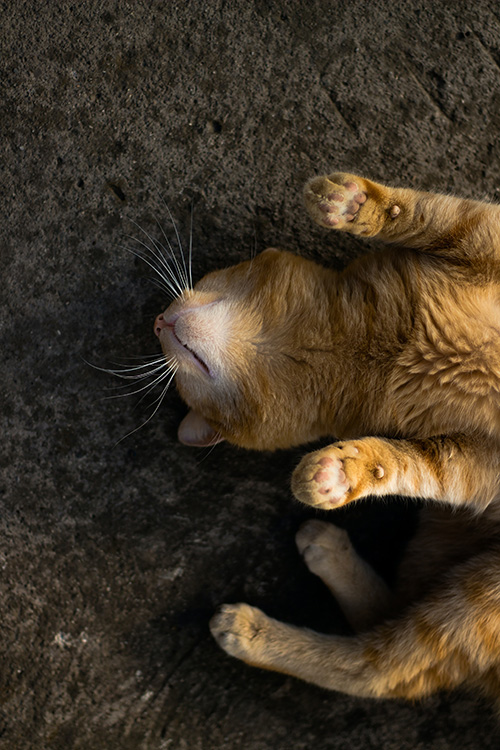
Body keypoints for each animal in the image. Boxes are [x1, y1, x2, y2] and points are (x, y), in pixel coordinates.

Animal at [152, 173, 500, 704]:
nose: (157, 323)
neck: (365, 346)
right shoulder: (475, 467)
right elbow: (407, 464)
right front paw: (342, 471)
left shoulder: (485, 235)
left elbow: (439, 215)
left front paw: (356, 203)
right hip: (475, 595)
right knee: (377, 667)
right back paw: (260, 618)